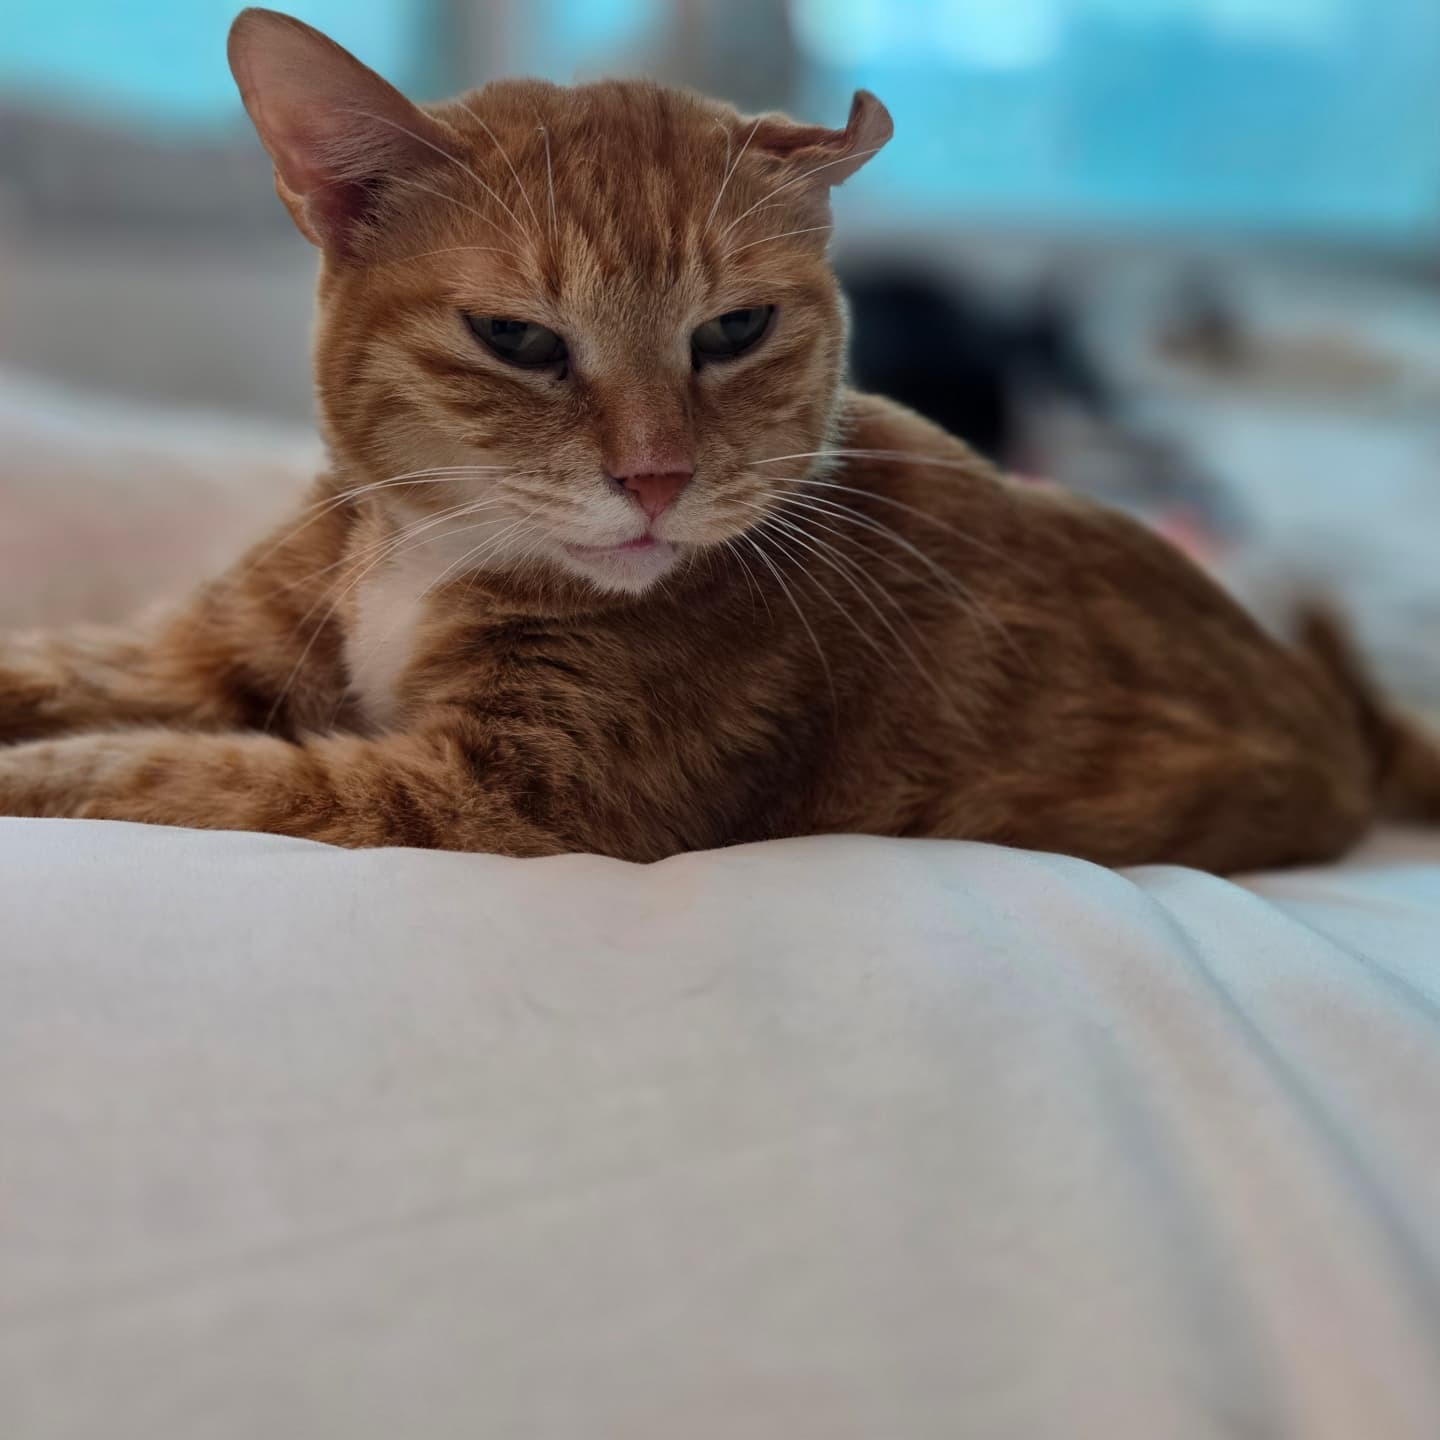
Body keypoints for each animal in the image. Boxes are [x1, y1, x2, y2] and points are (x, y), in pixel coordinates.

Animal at [0, 6, 1434, 872]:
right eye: (518, 340)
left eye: (735, 329)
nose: (657, 477)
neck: (421, 554)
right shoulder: (199, 654)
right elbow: (62, 668)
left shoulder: (502, 799)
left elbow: (176, 771)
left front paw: (49, 772)